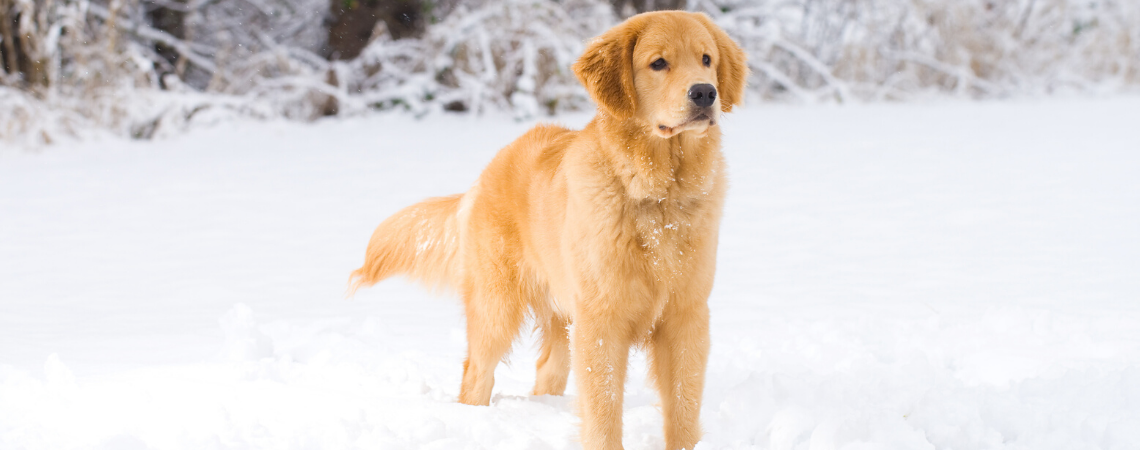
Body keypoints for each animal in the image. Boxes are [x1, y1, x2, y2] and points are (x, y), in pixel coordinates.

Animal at [353, 10, 747, 450]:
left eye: (707, 59)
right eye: (658, 63)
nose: (705, 93)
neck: (657, 197)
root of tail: (489, 169)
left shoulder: (686, 317)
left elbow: (683, 407)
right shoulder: (601, 321)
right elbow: (603, 411)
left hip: (562, 317)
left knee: (547, 368)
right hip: (497, 307)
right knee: (476, 372)